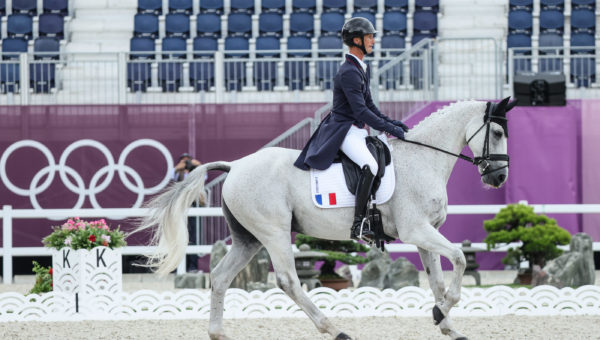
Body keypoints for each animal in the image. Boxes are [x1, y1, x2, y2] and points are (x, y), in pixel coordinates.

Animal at [136, 97, 516, 338]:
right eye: (497, 133)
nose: (499, 178)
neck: (422, 160)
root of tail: (235, 166)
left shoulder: (426, 233)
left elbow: (438, 281)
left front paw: (447, 324)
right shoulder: (417, 231)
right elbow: (460, 258)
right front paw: (441, 314)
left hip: (248, 239)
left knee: (218, 278)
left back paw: (219, 334)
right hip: (273, 233)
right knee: (288, 281)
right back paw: (335, 330)